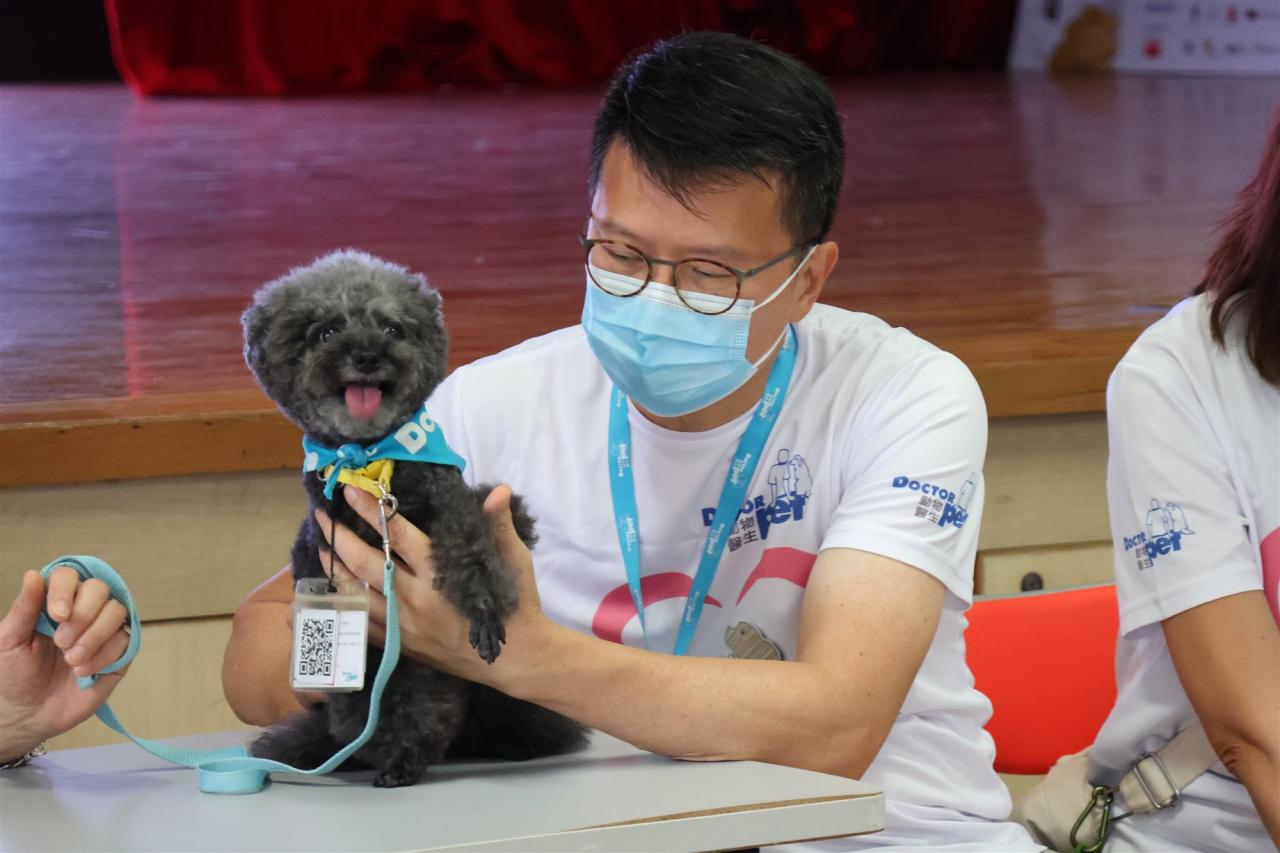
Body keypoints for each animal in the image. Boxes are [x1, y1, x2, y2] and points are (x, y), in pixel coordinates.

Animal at [241, 249, 587, 787]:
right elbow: (383, 696)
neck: (369, 461)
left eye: (392, 329)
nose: (367, 355)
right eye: (326, 331)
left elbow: (474, 551)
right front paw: (398, 754)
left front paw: (484, 611)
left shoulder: (451, 504)